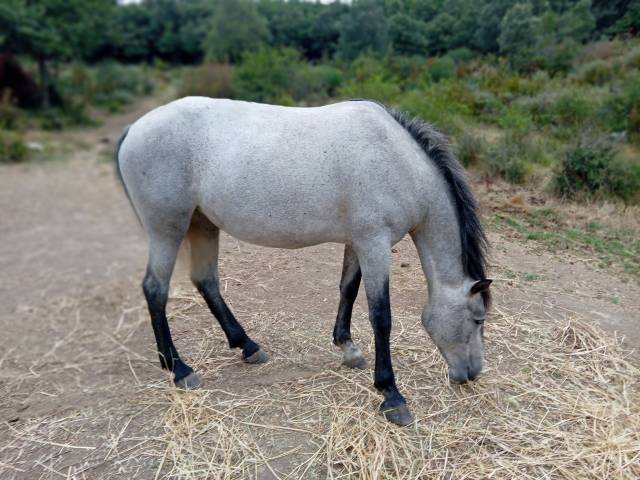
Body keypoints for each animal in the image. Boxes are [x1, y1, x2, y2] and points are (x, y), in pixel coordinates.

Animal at [117, 96, 492, 424]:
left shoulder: (358, 242)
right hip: (168, 230)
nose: (471, 374)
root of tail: (133, 129)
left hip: (202, 226)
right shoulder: (374, 244)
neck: (397, 161)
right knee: (155, 290)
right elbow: (380, 316)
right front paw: (391, 395)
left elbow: (347, 289)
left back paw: (247, 347)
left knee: (206, 281)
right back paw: (180, 369)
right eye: (477, 319)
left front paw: (348, 348)